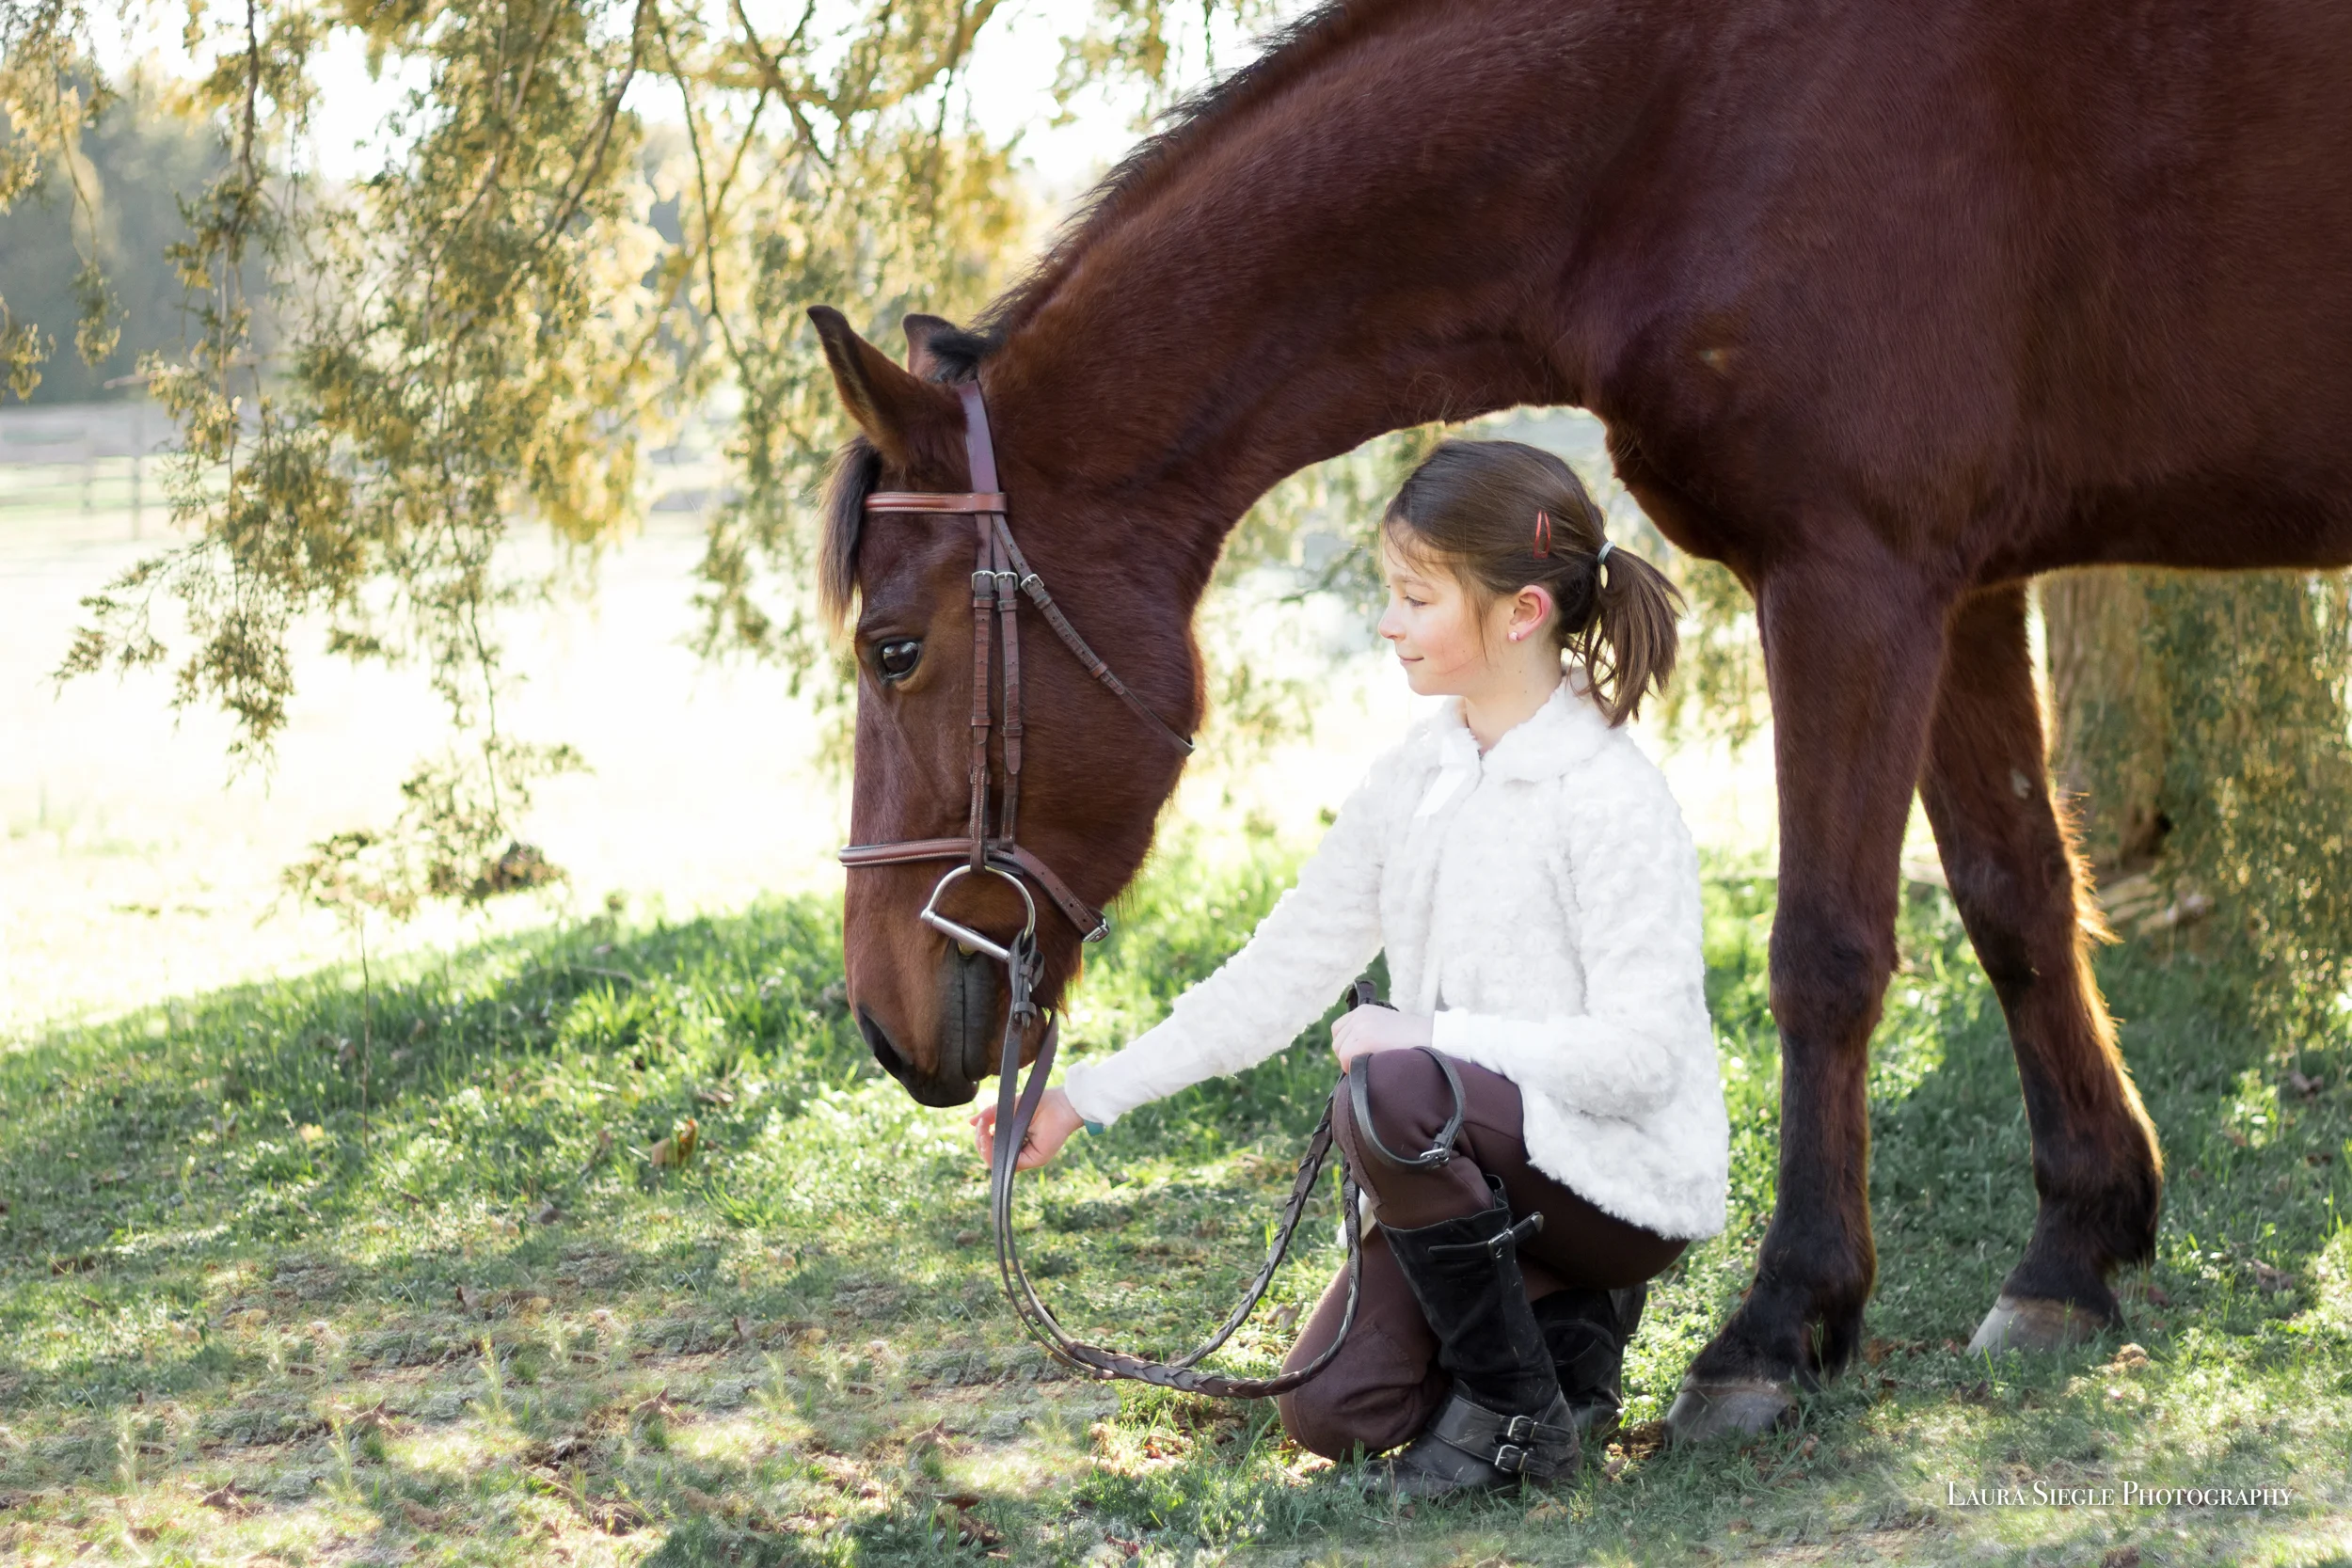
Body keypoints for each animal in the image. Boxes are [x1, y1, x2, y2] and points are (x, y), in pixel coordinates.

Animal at [809, 0, 2352, 1440]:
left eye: (895, 650)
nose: (883, 1023)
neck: (1683, 117)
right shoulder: (1963, 586)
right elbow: (2016, 899)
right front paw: (2075, 1250)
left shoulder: (1854, 577)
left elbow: (1825, 956)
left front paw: (1777, 1323)